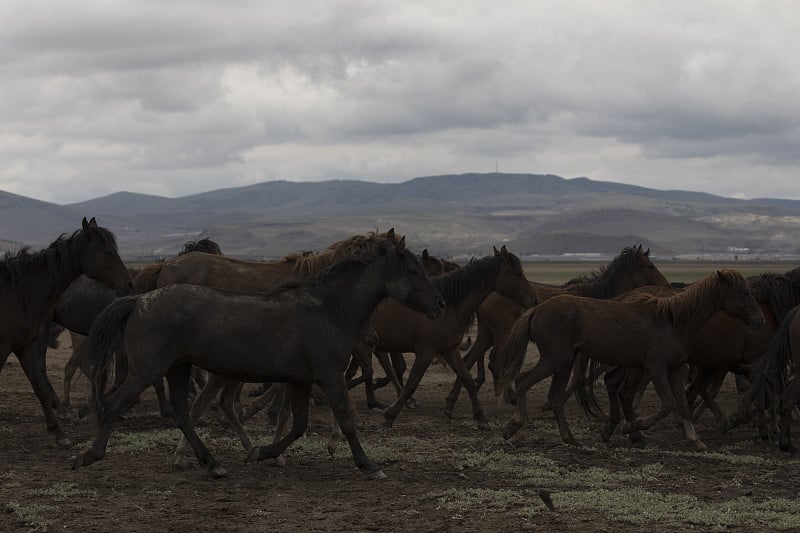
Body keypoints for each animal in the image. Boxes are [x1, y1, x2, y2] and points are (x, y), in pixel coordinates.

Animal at [0, 216, 131, 444]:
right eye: (105, 250)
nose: (128, 283)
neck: (18, 293)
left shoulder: (23, 346)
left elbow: (39, 387)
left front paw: (58, 432)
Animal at [73, 235, 444, 476]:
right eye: (414, 271)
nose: (440, 304)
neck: (327, 309)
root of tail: (139, 300)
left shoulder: (300, 380)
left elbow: (298, 425)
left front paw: (260, 452)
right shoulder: (327, 375)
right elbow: (344, 417)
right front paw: (368, 465)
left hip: (177, 368)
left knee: (183, 413)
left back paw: (212, 464)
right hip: (148, 369)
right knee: (114, 404)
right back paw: (88, 455)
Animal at [376, 245, 536, 428]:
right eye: (517, 274)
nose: (534, 300)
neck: (448, 307)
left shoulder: (449, 350)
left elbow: (467, 379)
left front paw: (480, 418)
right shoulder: (426, 353)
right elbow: (411, 385)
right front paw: (390, 415)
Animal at [446, 245, 664, 408]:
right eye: (650, 266)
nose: (666, 284)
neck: (600, 297)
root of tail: (489, 296)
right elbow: (583, 374)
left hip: (486, 335)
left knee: (469, 360)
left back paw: (454, 400)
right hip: (502, 335)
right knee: (497, 362)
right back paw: (506, 395)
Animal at [500, 270, 764, 448]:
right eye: (744, 292)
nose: (760, 320)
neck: (673, 322)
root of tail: (536, 309)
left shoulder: (676, 369)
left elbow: (683, 406)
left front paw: (695, 440)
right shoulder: (656, 368)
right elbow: (668, 405)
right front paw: (633, 426)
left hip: (564, 364)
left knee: (555, 397)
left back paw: (570, 439)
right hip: (555, 360)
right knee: (522, 381)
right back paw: (512, 426)